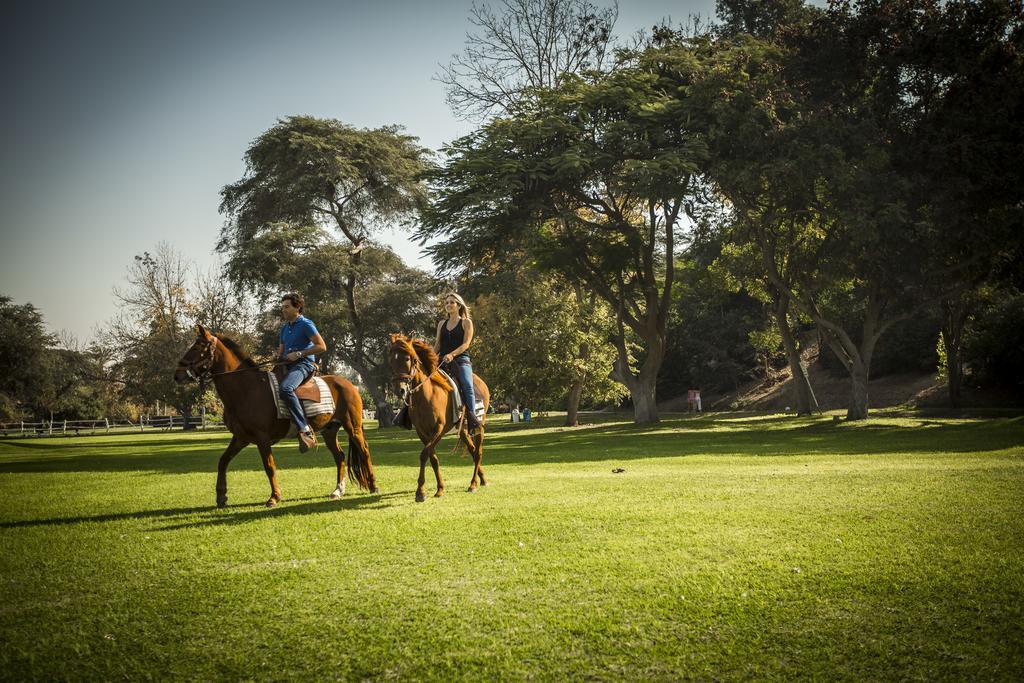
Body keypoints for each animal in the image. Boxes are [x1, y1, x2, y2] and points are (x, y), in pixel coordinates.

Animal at [174, 325, 378, 507]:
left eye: (197, 347)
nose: (177, 375)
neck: (247, 390)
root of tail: (350, 385)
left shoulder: (262, 438)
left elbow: (269, 467)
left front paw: (274, 497)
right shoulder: (240, 438)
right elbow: (223, 461)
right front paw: (221, 496)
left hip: (353, 427)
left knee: (365, 451)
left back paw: (373, 485)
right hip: (329, 430)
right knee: (340, 456)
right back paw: (338, 490)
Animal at [387, 335, 491, 501]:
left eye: (408, 359)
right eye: (391, 360)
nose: (400, 390)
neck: (427, 395)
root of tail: (481, 382)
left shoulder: (439, 430)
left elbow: (424, 455)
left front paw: (420, 492)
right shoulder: (422, 432)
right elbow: (433, 458)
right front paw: (440, 489)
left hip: (479, 426)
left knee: (478, 452)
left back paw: (473, 484)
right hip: (462, 430)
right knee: (472, 450)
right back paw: (482, 479)